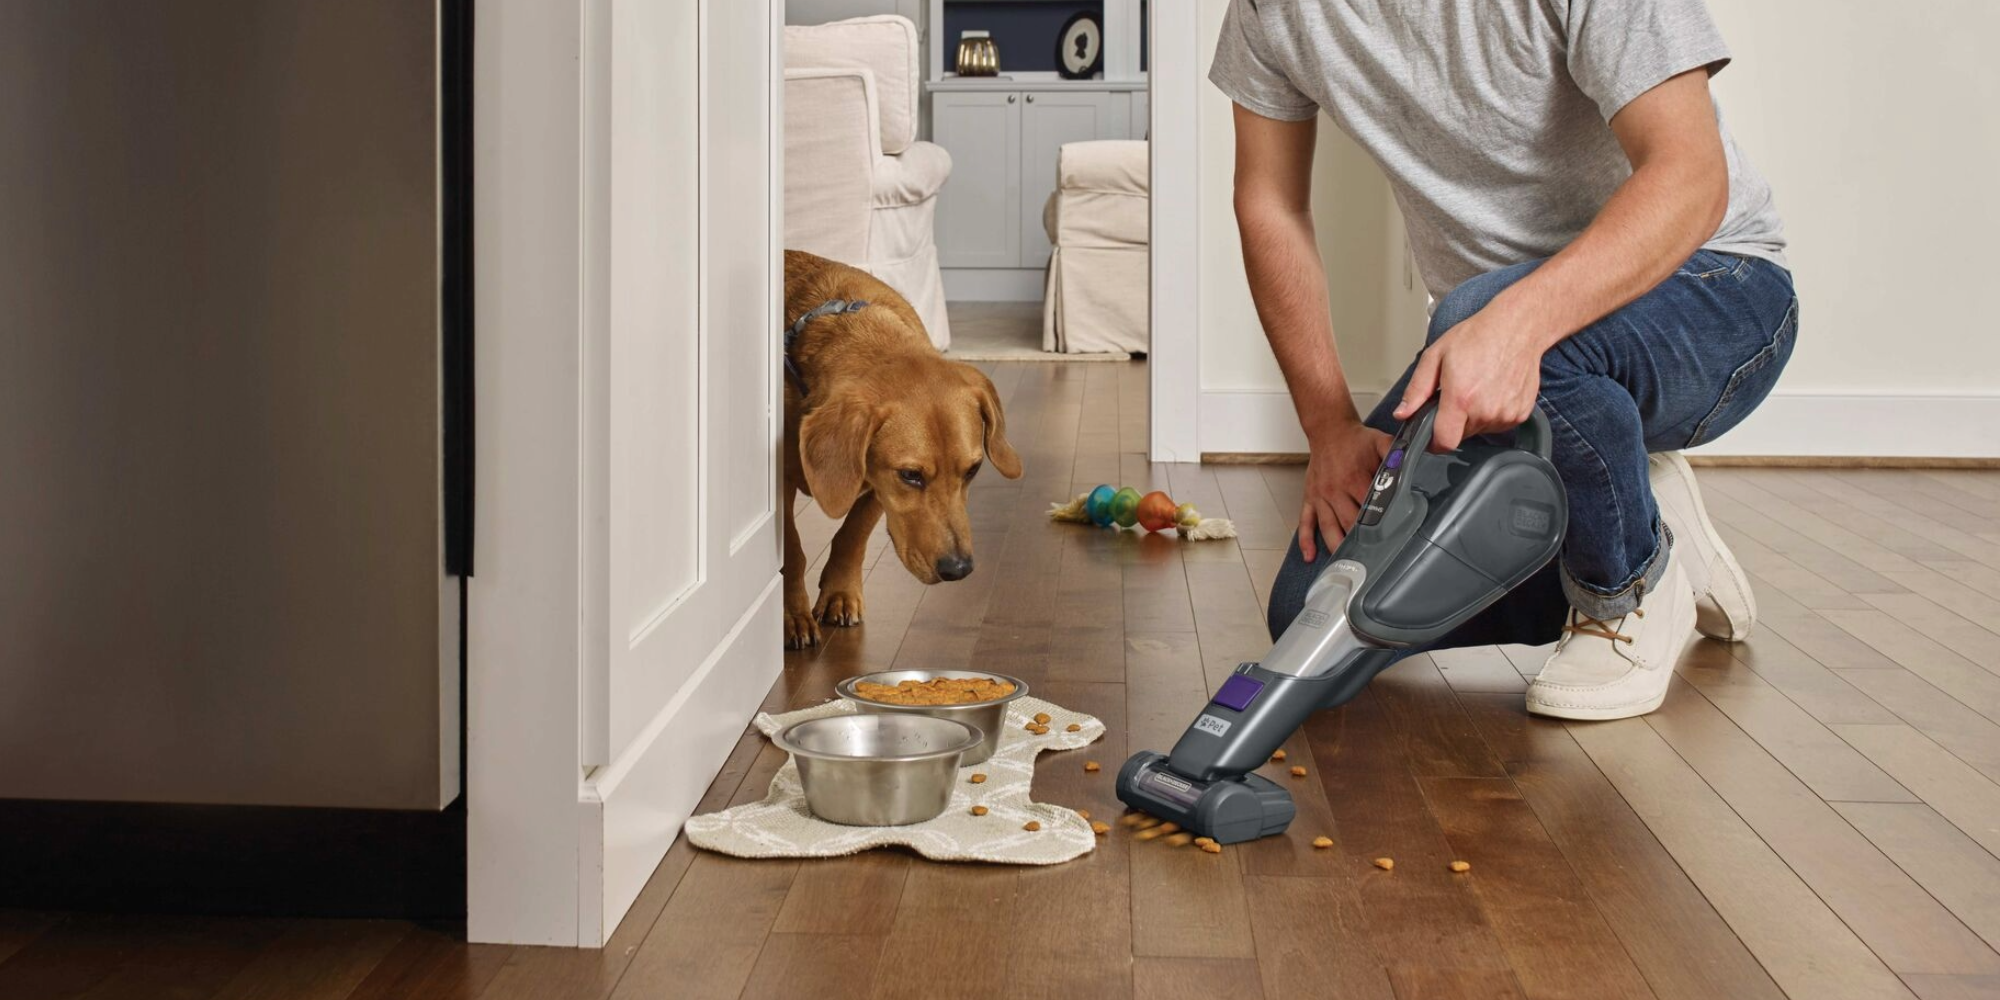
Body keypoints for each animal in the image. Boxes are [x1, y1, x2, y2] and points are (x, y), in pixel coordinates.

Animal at [780, 250, 1024, 648]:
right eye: (911, 475)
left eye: (972, 470)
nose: (959, 569)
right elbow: (792, 550)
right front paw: (792, 615)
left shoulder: (875, 486)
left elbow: (853, 533)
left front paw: (840, 592)